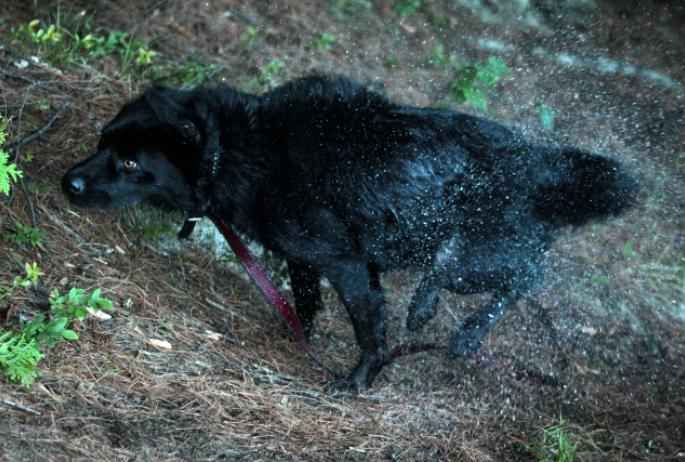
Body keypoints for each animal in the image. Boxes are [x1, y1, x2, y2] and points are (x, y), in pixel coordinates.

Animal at [64, 75, 636, 390]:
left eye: (131, 162)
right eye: (102, 140)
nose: (68, 182)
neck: (244, 150)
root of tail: (536, 166)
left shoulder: (346, 263)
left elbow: (368, 329)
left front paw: (360, 379)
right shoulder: (304, 256)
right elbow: (306, 299)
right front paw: (298, 334)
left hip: (473, 259)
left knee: (521, 278)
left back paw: (452, 325)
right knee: (526, 272)